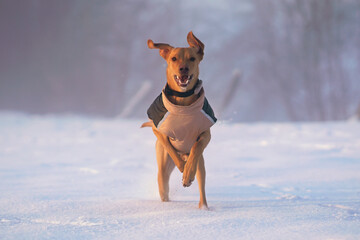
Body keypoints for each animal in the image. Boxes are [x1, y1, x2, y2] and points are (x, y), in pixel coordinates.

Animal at [141, 31, 217, 208]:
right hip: (162, 172)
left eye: (192, 58)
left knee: (201, 183)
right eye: (174, 58)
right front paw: (182, 165)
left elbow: (197, 147)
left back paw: (203, 207)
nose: (183, 69)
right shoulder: (157, 129)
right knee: (164, 187)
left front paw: (187, 172)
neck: (183, 102)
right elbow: (170, 148)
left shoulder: (206, 132)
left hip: (201, 166)